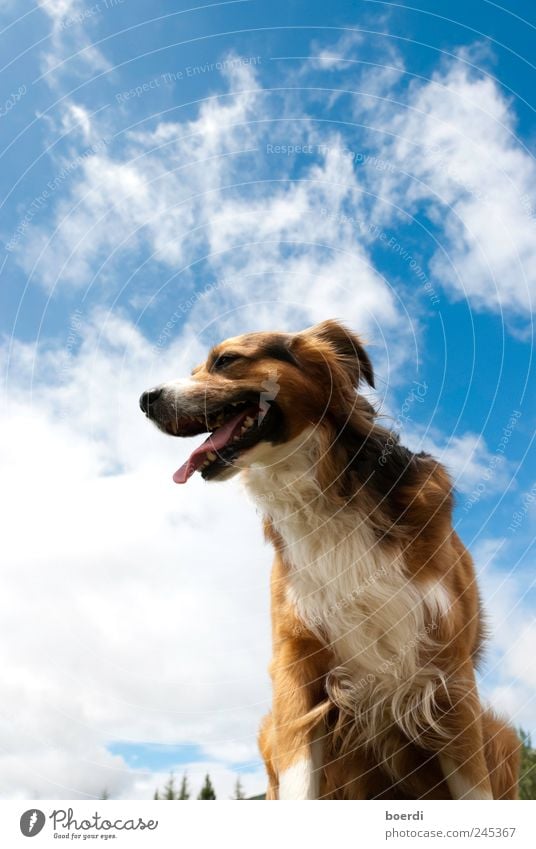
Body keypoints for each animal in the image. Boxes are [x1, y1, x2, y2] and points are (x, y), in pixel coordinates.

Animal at [139, 320, 520, 800]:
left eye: (225, 361)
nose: (145, 399)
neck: (324, 493)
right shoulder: (296, 664)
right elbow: (299, 781)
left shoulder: (450, 670)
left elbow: (476, 788)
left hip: (497, 733)